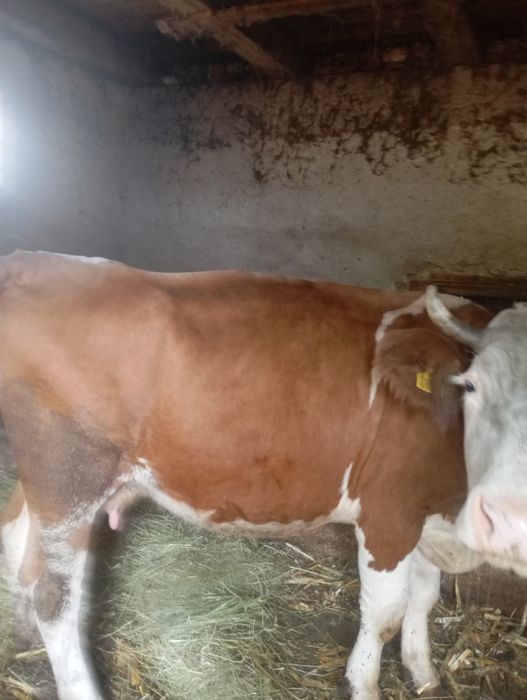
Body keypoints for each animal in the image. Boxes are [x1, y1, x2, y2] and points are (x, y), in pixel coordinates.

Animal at [0, 250, 504, 700]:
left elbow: (424, 597)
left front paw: (423, 674)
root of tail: (34, 260)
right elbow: (385, 614)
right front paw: (362, 685)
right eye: (479, 386)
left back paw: (22, 627)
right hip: (69, 471)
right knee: (54, 596)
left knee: (16, 530)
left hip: (52, 480)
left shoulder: (428, 514)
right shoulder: (388, 513)